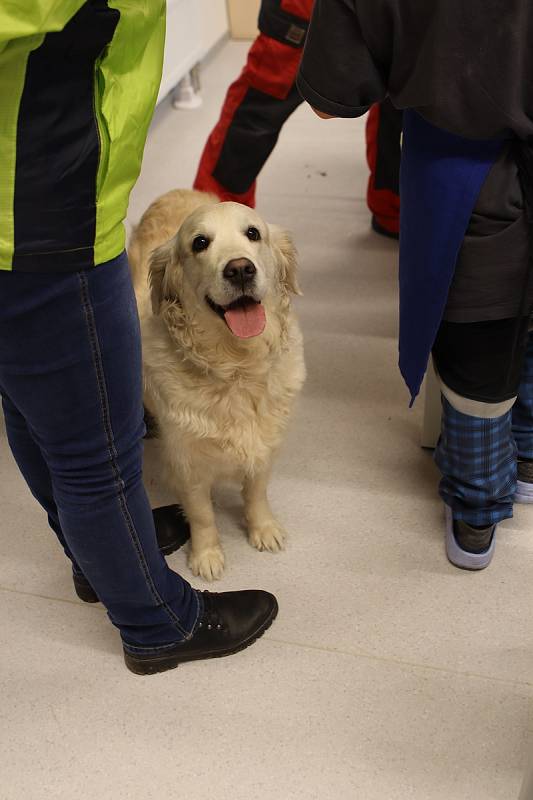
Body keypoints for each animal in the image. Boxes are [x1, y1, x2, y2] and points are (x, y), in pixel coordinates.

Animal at [127, 194, 306, 580]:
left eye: (253, 233)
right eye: (200, 243)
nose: (240, 269)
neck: (236, 367)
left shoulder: (265, 440)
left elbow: (256, 491)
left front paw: (263, 529)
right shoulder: (188, 462)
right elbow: (202, 514)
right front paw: (207, 555)